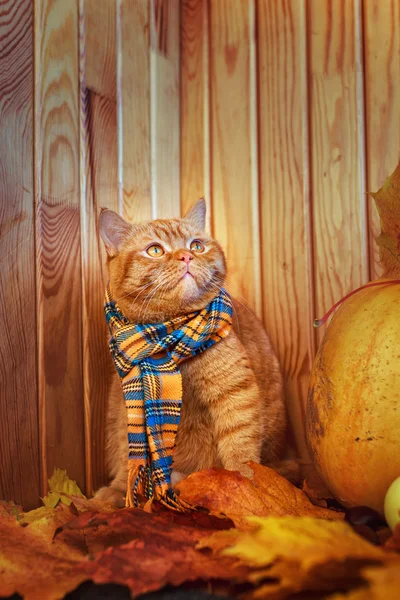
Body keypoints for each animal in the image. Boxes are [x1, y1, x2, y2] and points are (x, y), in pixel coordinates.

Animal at [95, 199, 286, 504]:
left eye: (196, 245)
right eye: (155, 250)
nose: (186, 256)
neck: (169, 338)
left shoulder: (235, 391)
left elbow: (240, 449)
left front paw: (245, 490)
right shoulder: (128, 404)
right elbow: (130, 454)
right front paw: (121, 489)